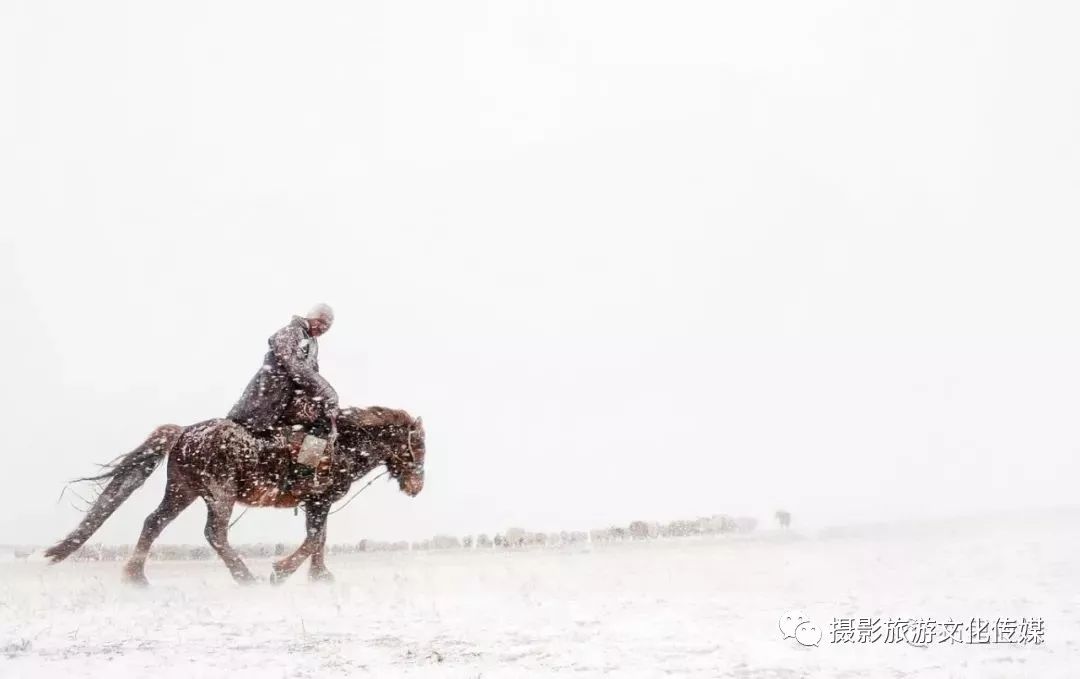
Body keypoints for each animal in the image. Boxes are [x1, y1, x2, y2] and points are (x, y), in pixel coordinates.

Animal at [46, 405, 425, 587]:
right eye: (418, 447)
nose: (416, 487)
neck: (342, 446)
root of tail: (184, 432)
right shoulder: (319, 501)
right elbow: (315, 539)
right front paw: (281, 572)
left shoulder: (318, 503)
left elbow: (319, 538)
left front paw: (319, 576)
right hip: (220, 494)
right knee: (214, 533)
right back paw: (245, 577)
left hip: (182, 491)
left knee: (154, 523)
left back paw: (135, 576)